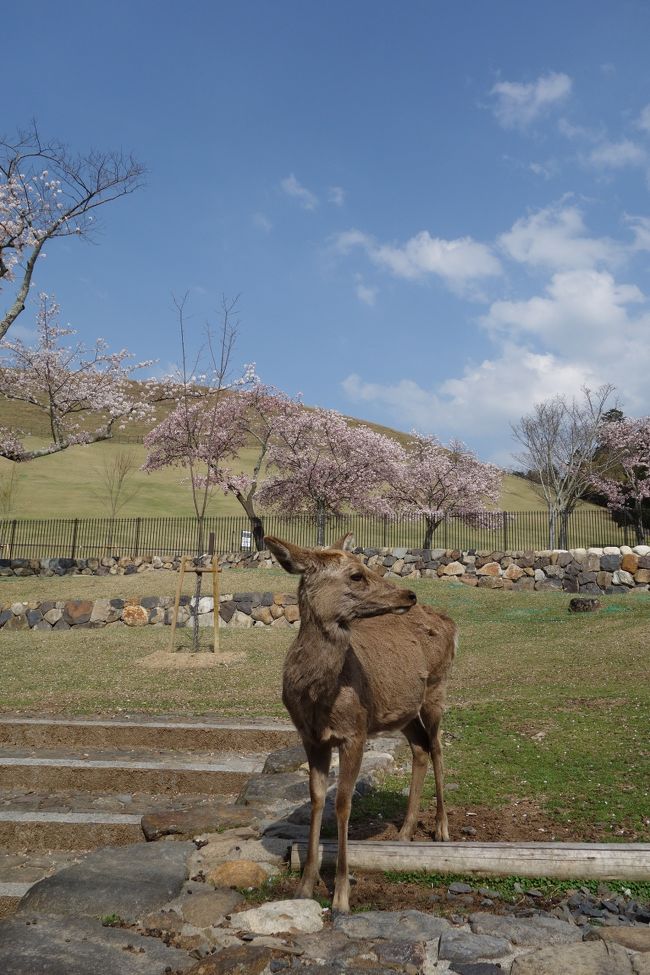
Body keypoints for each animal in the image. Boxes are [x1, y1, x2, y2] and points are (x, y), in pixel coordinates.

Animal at [265, 534, 457, 913]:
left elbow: (343, 804)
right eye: (356, 575)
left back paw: (441, 829)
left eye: (366, 566)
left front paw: (341, 896)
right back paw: (405, 832)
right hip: (399, 710)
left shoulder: (354, 731)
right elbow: (317, 799)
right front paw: (305, 885)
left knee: (439, 747)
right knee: (420, 746)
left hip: (436, 689)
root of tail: (451, 624)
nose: (408, 594)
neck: (319, 697)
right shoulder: (311, 737)